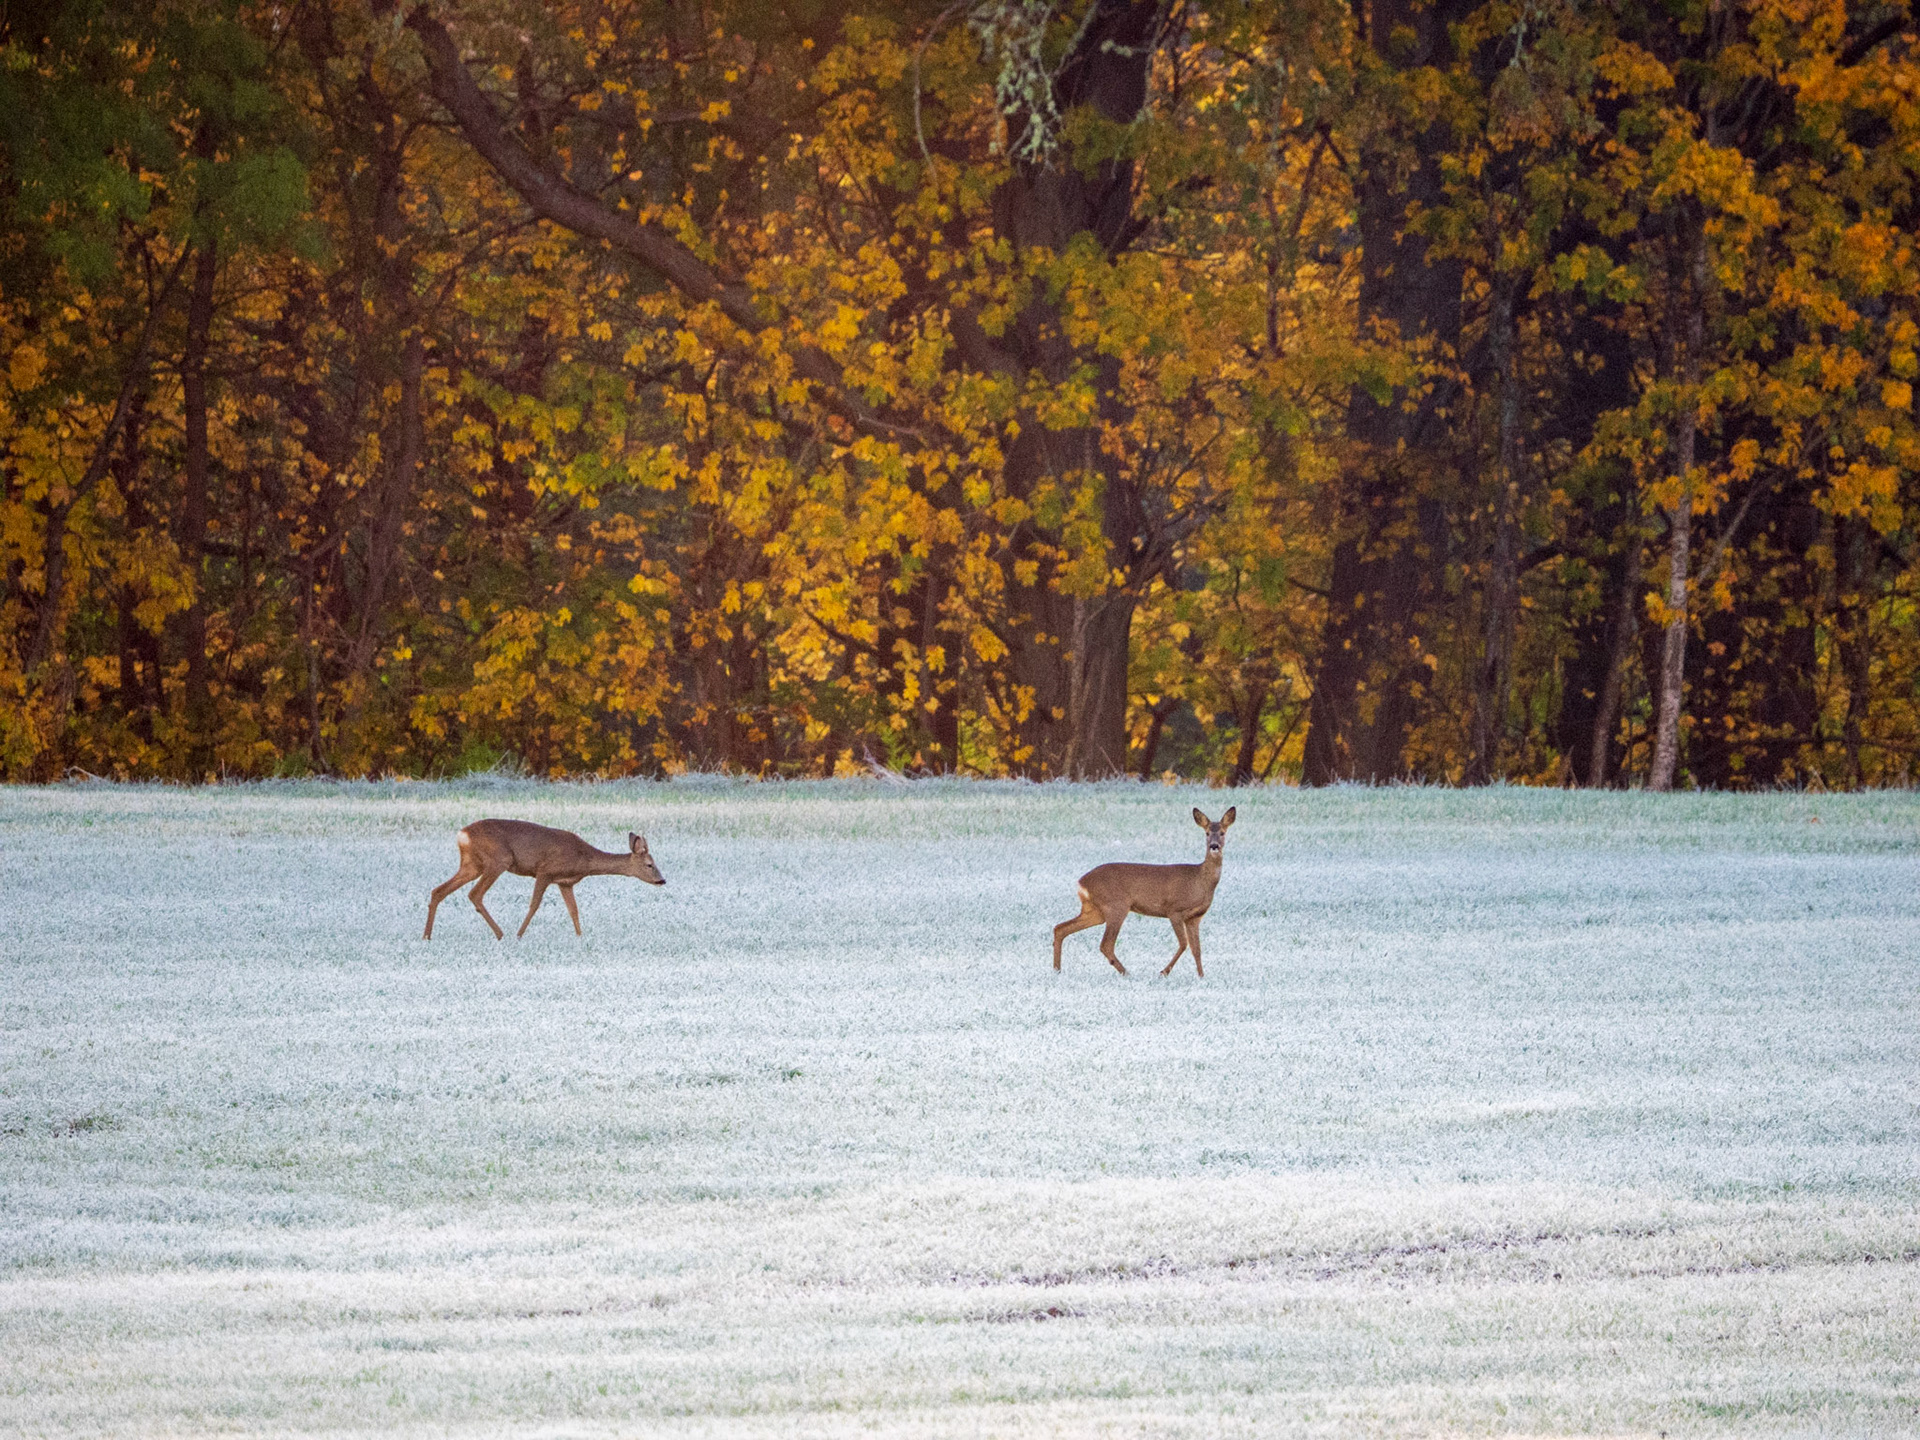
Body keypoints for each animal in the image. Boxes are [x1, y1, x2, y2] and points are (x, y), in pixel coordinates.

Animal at [423, 819, 665, 940]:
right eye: (649, 864)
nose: (662, 881)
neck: (584, 859)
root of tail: (462, 835)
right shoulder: (545, 871)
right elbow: (534, 905)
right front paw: (520, 935)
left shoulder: (565, 882)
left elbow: (574, 910)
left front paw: (580, 937)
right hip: (498, 860)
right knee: (475, 894)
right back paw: (501, 934)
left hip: (472, 864)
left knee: (438, 890)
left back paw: (427, 936)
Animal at [1052, 807, 1235, 977]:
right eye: (1206, 833)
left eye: (1222, 833)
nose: (1214, 846)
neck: (1199, 879)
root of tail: (1081, 882)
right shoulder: (1174, 909)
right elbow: (1184, 944)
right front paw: (1164, 972)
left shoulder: (1195, 917)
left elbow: (1196, 949)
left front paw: (1201, 976)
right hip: (1116, 906)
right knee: (1106, 944)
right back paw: (1126, 973)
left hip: (1094, 911)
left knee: (1060, 928)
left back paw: (1057, 970)